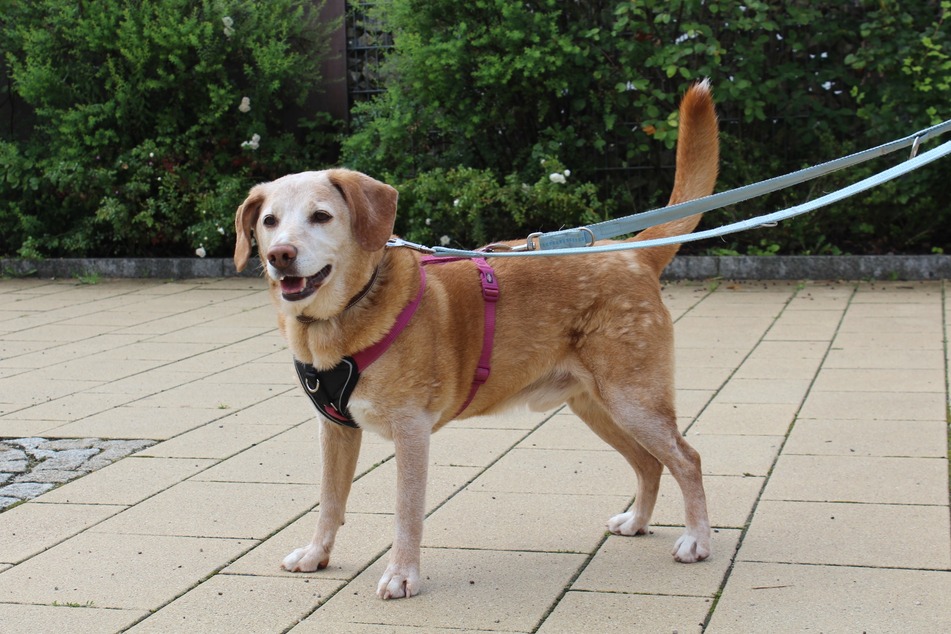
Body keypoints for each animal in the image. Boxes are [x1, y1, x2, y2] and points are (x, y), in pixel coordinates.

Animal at [234, 79, 716, 596]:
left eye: (321, 216)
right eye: (269, 221)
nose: (281, 255)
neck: (337, 323)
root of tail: (633, 254)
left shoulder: (411, 431)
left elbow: (406, 513)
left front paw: (402, 574)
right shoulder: (335, 430)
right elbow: (329, 500)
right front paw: (317, 554)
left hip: (633, 400)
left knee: (687, 458)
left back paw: (697, 539)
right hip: (596, 406)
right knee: (650, 463)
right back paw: (638, 521)